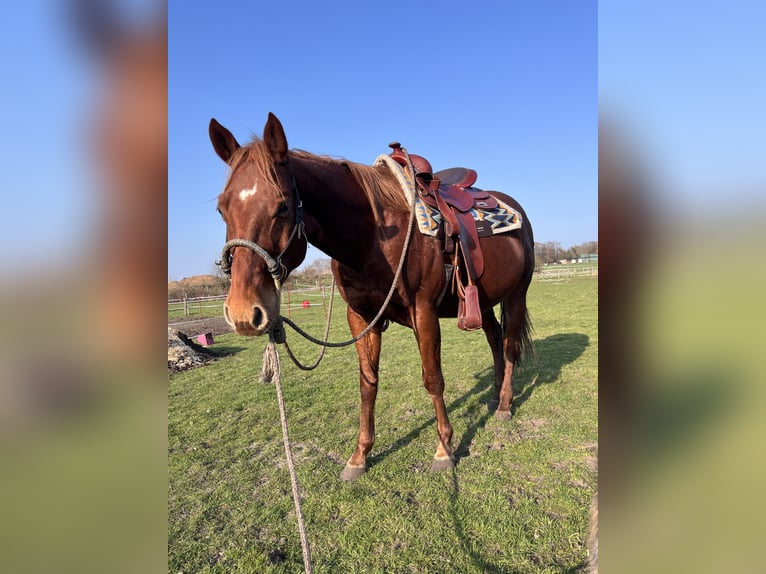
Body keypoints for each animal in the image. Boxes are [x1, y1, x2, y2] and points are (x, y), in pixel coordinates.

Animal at [210, 113, 534, 480]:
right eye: (222, 209)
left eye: (282, 205)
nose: (242, 313)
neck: (371, 238)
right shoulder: (361, 317)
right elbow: (368, 383)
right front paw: (359, 456)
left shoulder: (423, 312)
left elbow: (433, 378)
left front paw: (444, 449)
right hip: (485, 300)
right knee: (495, 339)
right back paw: (494, 396)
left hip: (516, 295)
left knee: (509, 346)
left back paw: (505, 405)